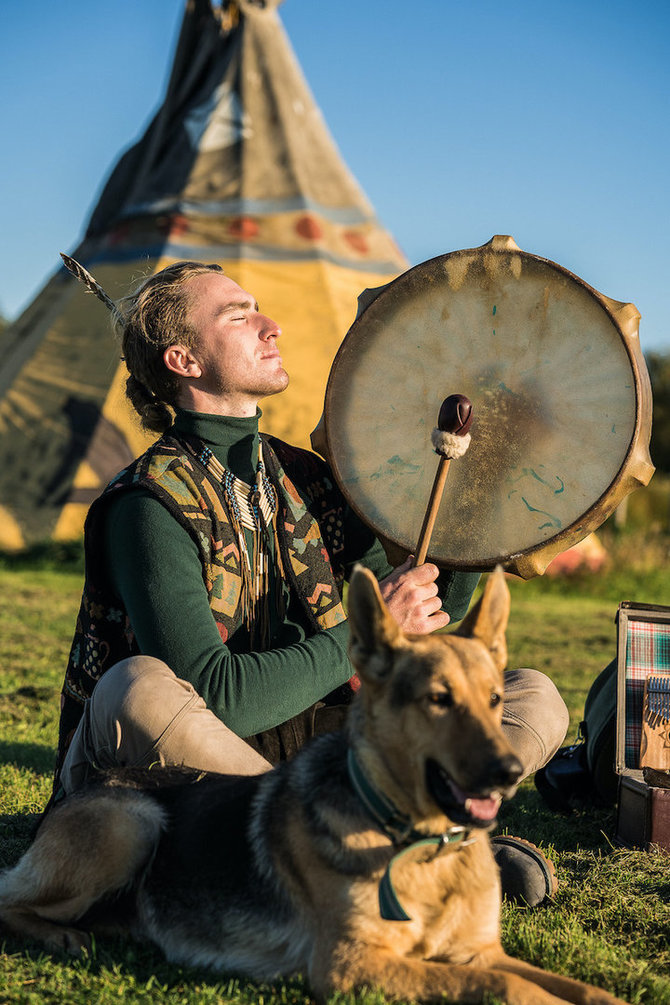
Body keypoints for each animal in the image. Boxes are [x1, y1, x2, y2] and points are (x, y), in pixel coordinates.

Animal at [1, 570, 630, 1000]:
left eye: (495, 700)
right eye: (438, 700)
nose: (510, 774)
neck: (425, 849)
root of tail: (94, 780)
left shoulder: (477, 952)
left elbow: (579, 987)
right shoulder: (352, 965)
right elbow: (512, 988)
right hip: (132, 823)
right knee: (9, 900)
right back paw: (62, 937)